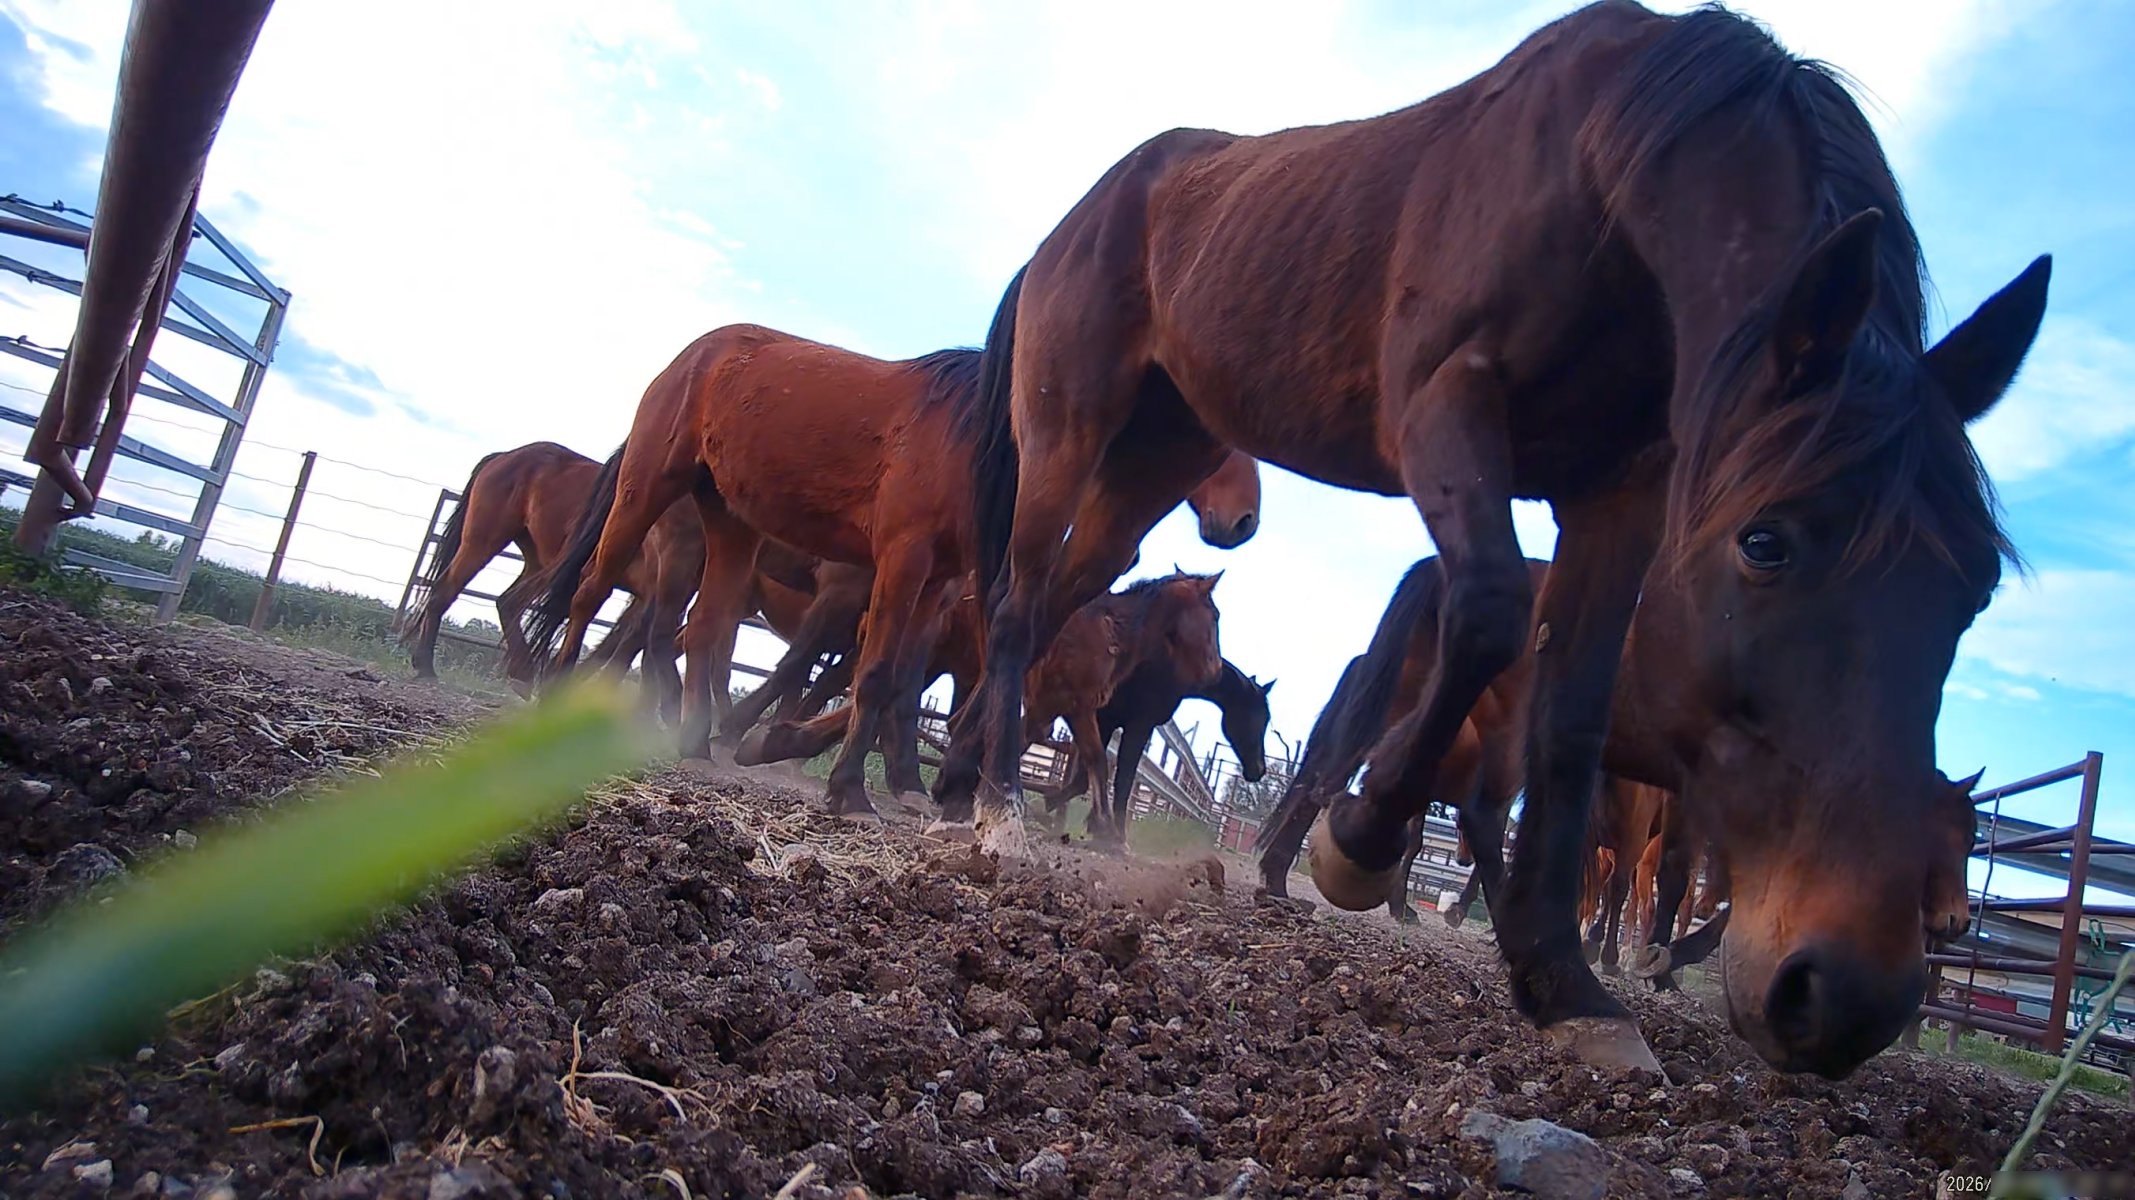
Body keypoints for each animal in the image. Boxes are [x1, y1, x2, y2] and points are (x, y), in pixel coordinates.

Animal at [406, 441, 702, 715]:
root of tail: (503, 456)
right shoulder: (656, 588)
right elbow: (633, 643)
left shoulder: (654, 593)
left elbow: (624, 643)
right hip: (482, 542)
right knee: (445, 591)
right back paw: (426, 666)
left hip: (538, 561)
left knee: (508, 601)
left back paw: (523, 674)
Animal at [939, 2, 2043, 1077]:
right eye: (1762, 543)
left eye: (1976, 587)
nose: (1844, 994)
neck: (1605, 178)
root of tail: (1073, 222)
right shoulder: (1444, 407)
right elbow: (1489, 614)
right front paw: (1360, 841)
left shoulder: (1620, 493)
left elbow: (1569, 717)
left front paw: (1565, 987)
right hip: (1069, 430)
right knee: (1020, 599)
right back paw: (999, 813)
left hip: (1151, 464)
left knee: (1060, 595)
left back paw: (952, 785)